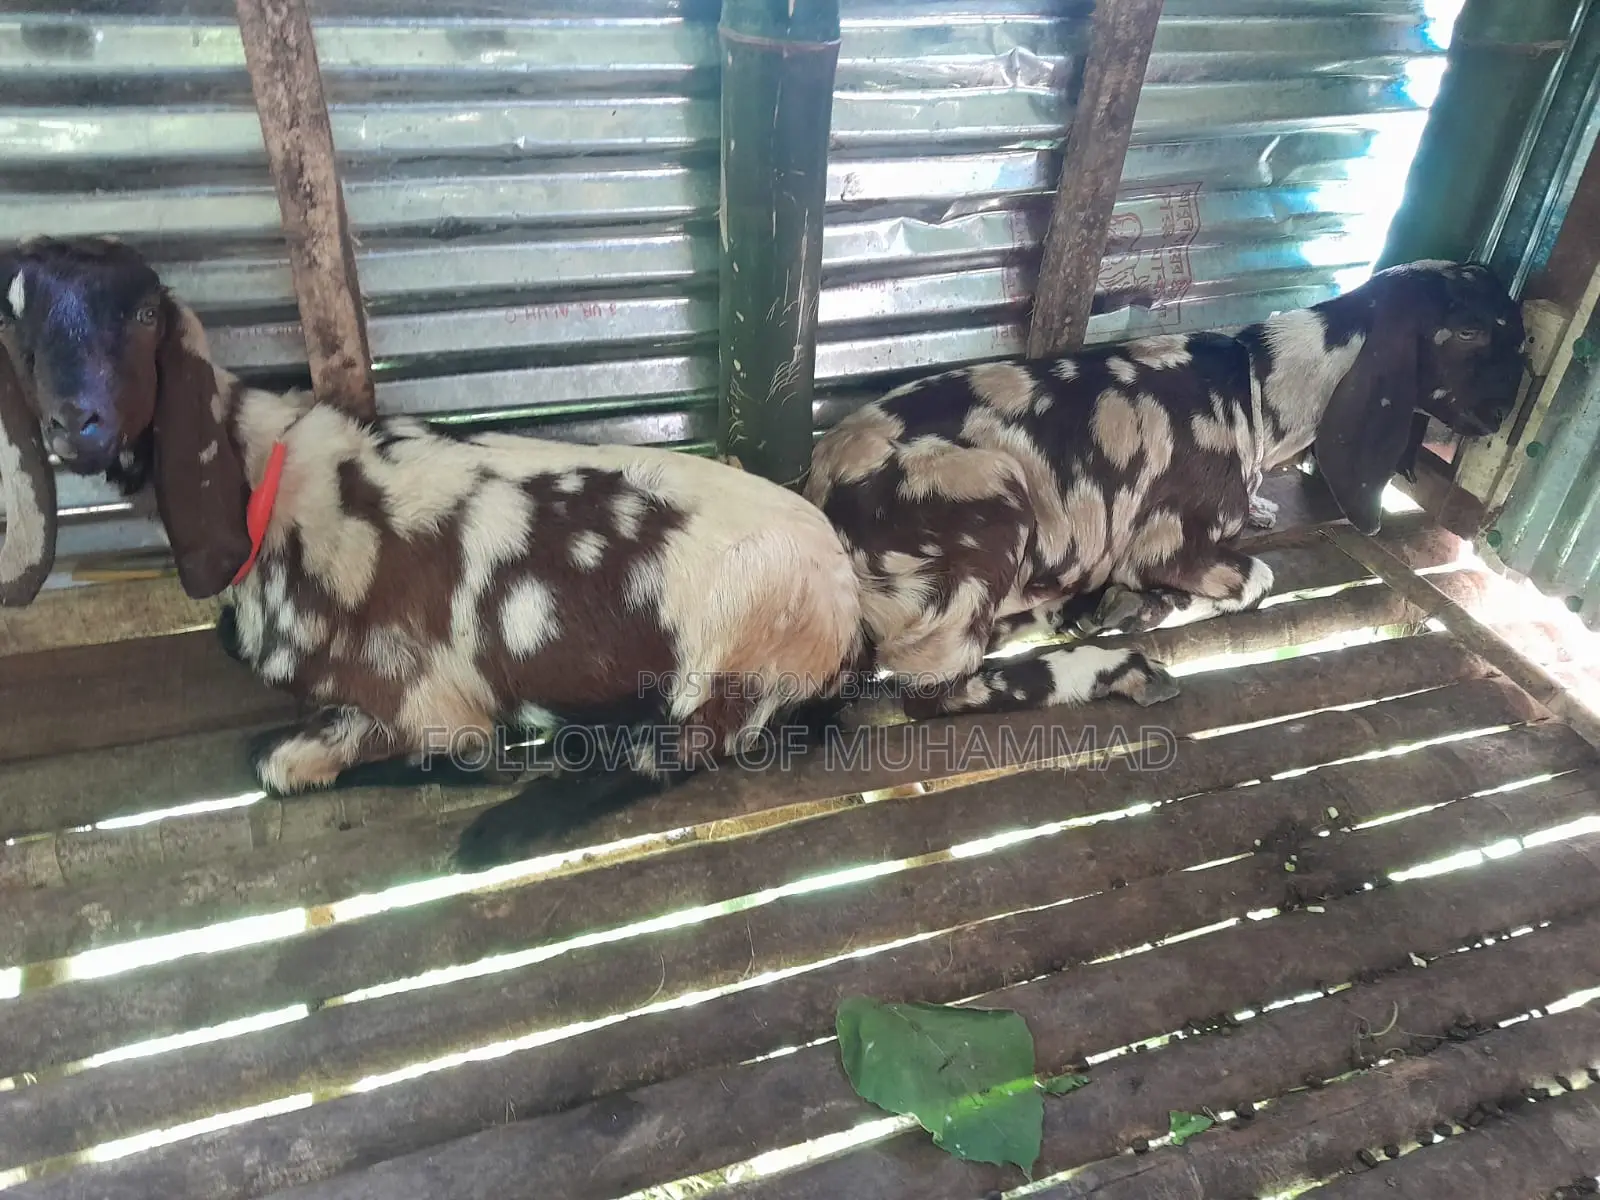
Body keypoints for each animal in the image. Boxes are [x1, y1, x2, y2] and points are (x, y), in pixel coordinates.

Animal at [0, 236, 866, 870]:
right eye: (16, 323)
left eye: (146, 311)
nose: (77, 423)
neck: (266, 483)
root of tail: (845, 603)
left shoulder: (427, 697)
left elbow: (284, 761)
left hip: (734, 660)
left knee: (674, 748)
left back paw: (506, 822)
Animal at [803, 260, 1530, 723]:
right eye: (1477, 332)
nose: (1508, 413)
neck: (1258, 390)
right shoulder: (1170, 540)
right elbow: (1256, 580)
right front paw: (1162, 604)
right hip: (986, 511)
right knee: (935, 689)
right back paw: (1112, 665)